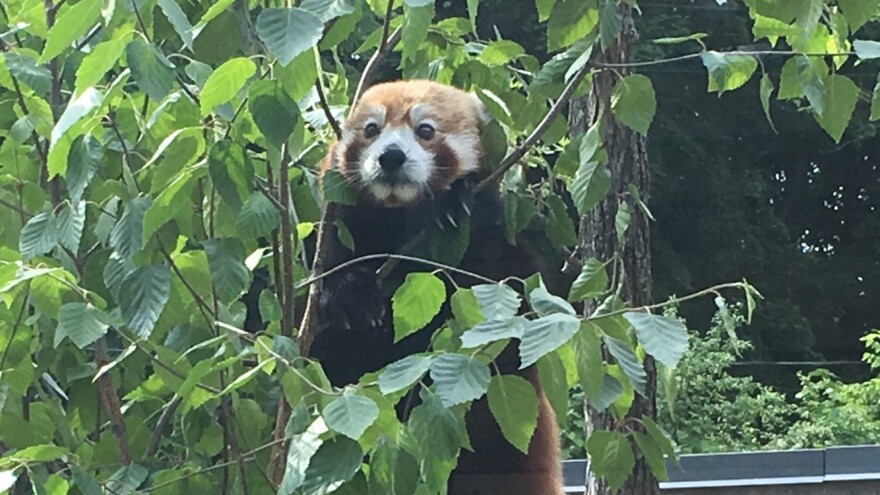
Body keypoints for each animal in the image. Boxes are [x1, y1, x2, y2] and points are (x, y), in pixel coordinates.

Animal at [312, 80, 563, 495]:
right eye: (371, 130)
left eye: (425, 130)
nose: (391, 156)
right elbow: (335, 355)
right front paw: (350, 294)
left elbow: (511, 309)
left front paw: (456, 200)